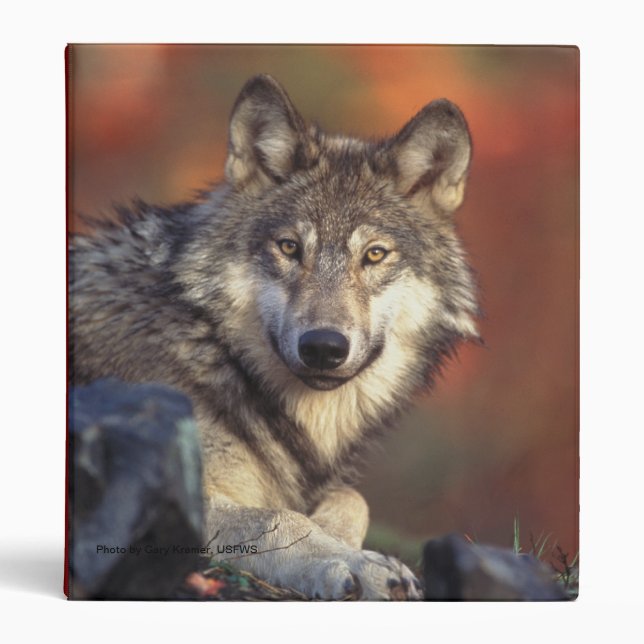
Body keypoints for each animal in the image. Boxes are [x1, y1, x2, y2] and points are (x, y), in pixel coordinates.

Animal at [69, 74, 479, 600]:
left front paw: (341, 540)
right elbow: (278, 519)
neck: (214, 349)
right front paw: (359, 565)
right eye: (289, 247)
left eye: (374, 254)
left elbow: (352, 498)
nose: (323, 347)